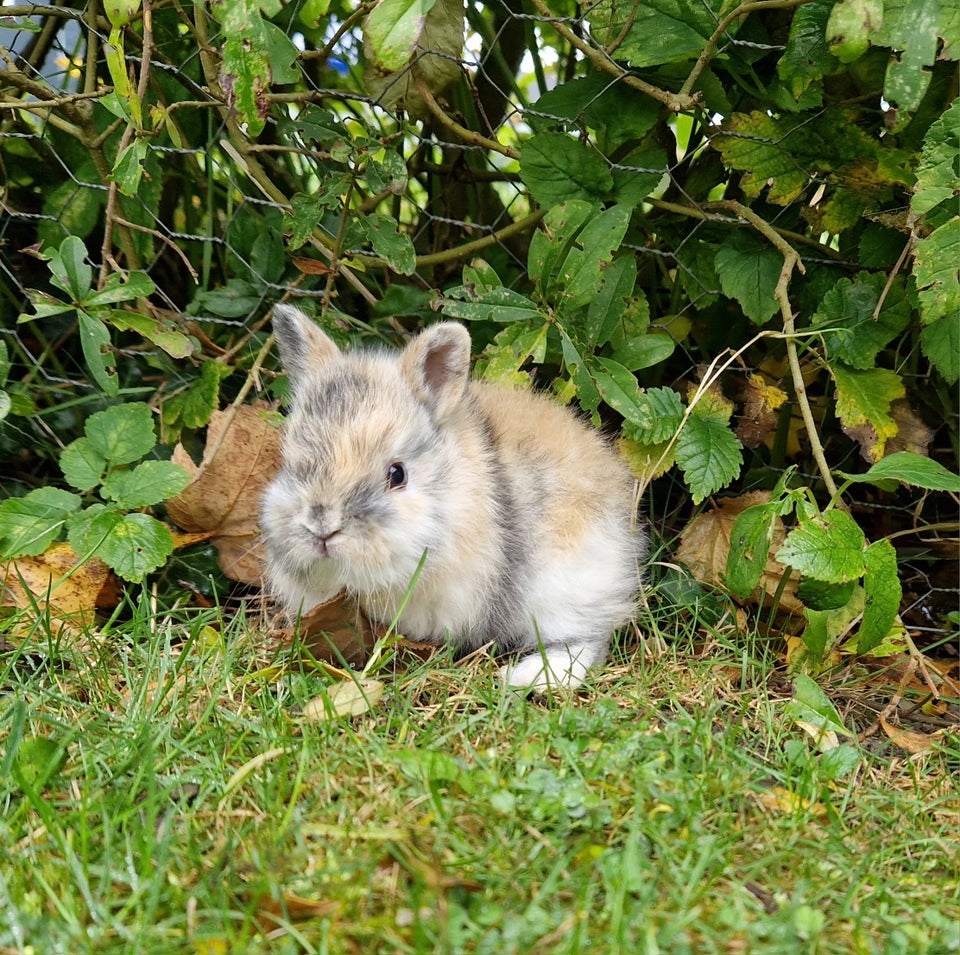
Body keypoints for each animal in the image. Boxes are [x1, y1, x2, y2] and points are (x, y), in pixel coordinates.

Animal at [260, 306, 644, 688]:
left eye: (397, 474)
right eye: (290, 462)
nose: (322, 527)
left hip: (567, 586)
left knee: (588, 640)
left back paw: (525, 677)